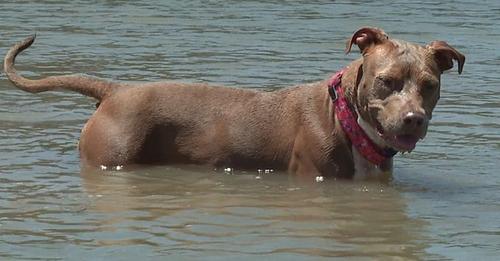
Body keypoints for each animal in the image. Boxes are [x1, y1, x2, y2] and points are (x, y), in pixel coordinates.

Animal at [3, 28, 464, 178]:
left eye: (429, 85)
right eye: (386, 82)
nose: (413, 119)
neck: (347, 118)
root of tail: (114, 90)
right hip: (111, 156)